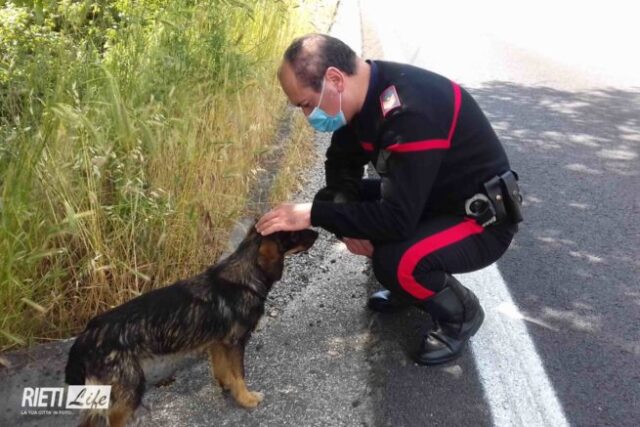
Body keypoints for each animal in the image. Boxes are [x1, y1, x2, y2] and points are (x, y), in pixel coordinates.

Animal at [63, 226, 318, 426]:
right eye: (294, 233)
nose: (316, 232)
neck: (246, 275)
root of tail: (87, 335)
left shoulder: (218, 343)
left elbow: (223, 371)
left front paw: (228, 389)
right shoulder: (235, 342)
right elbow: (239, 374)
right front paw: (246, 399)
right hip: (129, 388)